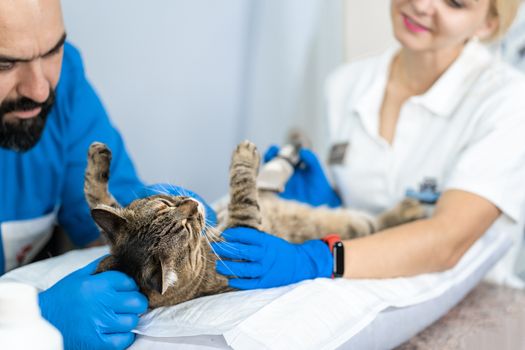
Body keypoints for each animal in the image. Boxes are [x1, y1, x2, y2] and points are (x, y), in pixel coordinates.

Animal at [84, 141, 424, 308]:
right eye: (187, 229)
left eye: (166, 204)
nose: (194, 204)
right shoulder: (246, 229)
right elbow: (242, 188)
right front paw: (246, 157)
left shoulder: (109, 232)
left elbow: (95, 195)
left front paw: (97, 158)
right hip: (359, 225)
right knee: (377, 221)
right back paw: (410, 208)